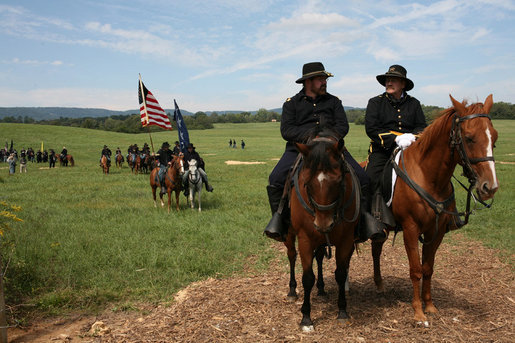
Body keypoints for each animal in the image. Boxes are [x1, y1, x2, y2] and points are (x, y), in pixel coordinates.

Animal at [286, 134, 358, 330]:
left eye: (339, 181)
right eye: (307, 183)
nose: (323, 224)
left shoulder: (346, 239)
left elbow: (340, 273)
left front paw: (342, 311)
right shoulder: (304, 238)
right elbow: (307, 277)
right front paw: (306, 317)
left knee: (318, 257)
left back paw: (321, 289)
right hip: (291, 235)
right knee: (291, 256)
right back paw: (292, 290)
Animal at [370, 95, 500, 326]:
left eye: (494, 138)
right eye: (469, 138)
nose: (489, 187)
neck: (428, 177)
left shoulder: (436, 232)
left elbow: (428, 269)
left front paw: (429, 306)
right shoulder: (411, 229)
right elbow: (415, 270)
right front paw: (418, 312)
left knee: (376, 249)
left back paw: (379, 284)